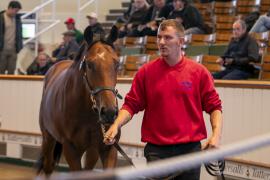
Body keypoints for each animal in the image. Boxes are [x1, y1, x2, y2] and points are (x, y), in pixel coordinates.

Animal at [36, 25, 121, 174]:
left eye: (116, 63)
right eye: (89, 64)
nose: (109, 112)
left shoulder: (108, 148)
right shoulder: (71, 150)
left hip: (92, 150)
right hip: (48, 138)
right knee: (48, 166)